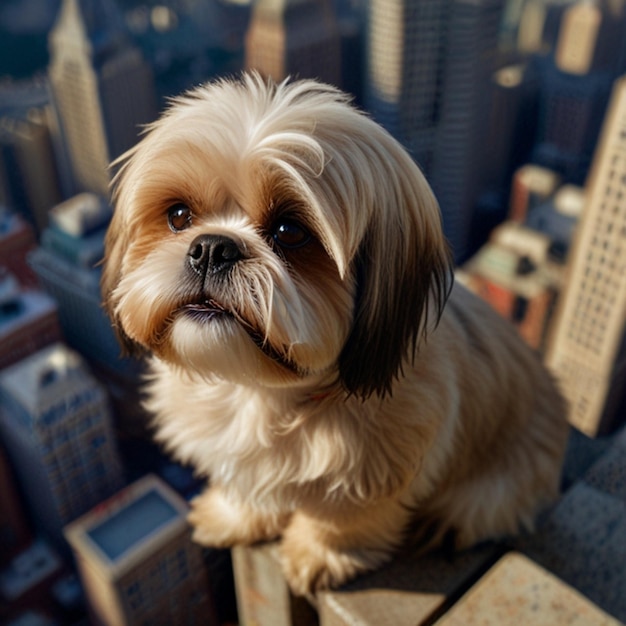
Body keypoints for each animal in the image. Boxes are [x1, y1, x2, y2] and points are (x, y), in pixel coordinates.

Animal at [103, 73, 572, 596]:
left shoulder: (376, 474)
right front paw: (236, 517)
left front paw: (319, 556)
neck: (262, 393)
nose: (212, 248)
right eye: (179, 216)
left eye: (289, 231)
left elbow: (340, 520)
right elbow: (250, 486)